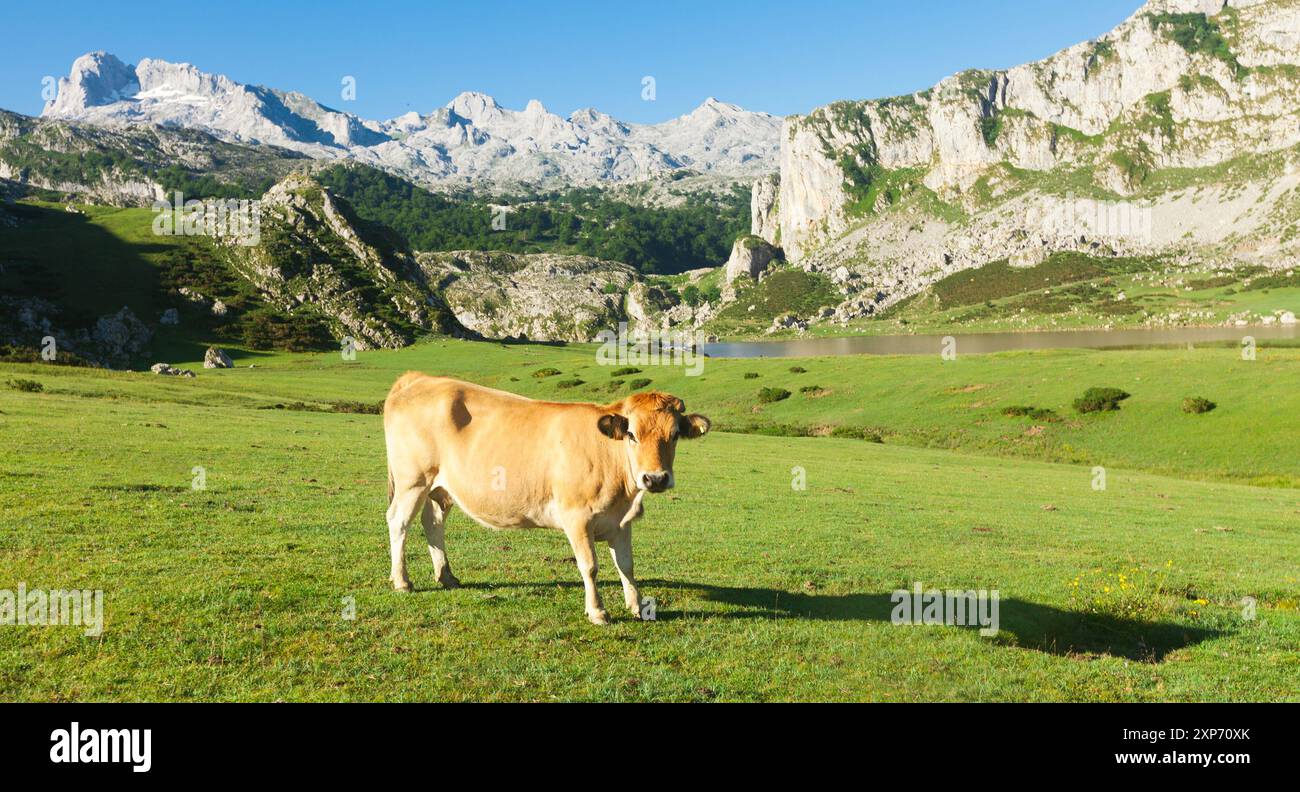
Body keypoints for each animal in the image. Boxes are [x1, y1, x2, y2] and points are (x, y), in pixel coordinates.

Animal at [382, 372, 710, 624]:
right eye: (632, 435)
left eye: (675, 435)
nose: (655, 478)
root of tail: (419, 378)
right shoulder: (577, 516)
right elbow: (589, 565)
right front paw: (597, 611)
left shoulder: (621, 521)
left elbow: (626, 565)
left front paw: (638, 606)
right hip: (413, 480)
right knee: (398, 522)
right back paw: (402, 581)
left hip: (440, 487)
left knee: (433, 522)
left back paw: (447, 576)